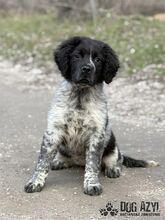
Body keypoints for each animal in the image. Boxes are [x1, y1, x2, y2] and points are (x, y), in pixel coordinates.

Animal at [24, 36, 159, 196]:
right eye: (77, 56)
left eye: (98, 60)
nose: (87, 69)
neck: (80, 96)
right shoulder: (53, 131)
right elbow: (42, 162)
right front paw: (35, 182)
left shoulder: (97, 134)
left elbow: (93, 164)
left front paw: (92, 184)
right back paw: (58, 161)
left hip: (112, 145)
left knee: (117, 159)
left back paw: (113, 168)